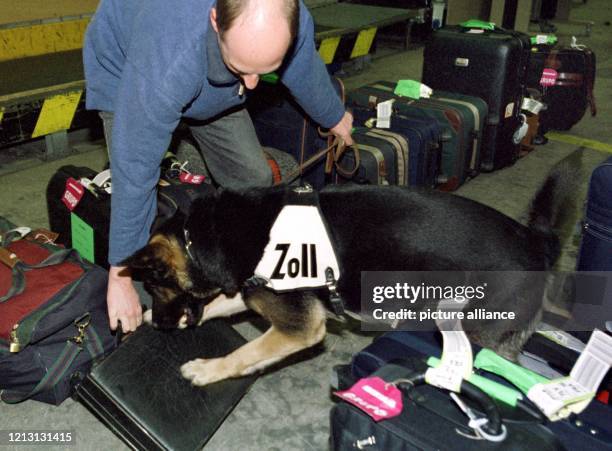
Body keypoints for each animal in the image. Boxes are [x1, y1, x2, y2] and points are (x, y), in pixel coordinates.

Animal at [123, 164, 572, 386]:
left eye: (153, 285)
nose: (161, 324)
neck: (207, 236)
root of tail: (536, 242)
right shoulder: (253, 291)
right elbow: (222, 306)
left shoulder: (300, 326)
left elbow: (244, 352)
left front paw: (206, 370)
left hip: (480, 334)